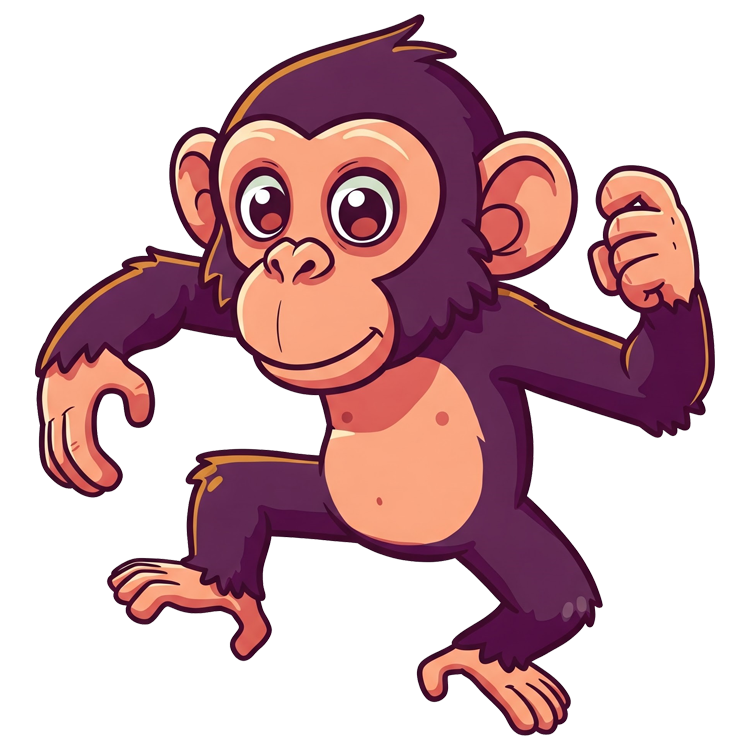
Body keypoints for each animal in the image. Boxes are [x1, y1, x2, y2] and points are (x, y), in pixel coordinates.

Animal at [36, 18, 713, 735]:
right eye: (264, 207)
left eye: (362, 211)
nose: (292, 260)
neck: (411, 352)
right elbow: (194, 290)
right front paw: (78, 382)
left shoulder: (506, 329)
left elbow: (640, 390)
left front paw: (656, 254)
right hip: (327, 501)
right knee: (236, 488)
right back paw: (210, 584)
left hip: (496, 532)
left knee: (557, 596)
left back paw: (490, 663)